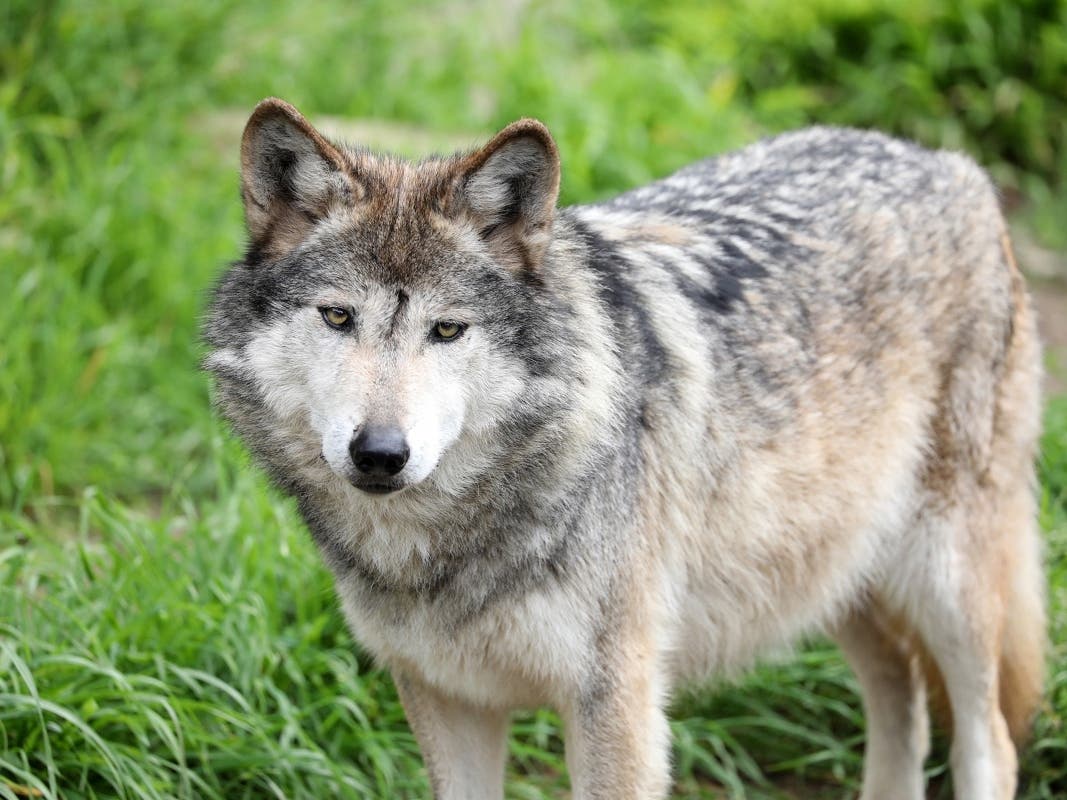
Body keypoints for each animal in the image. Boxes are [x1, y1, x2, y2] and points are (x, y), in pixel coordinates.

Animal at [204, 97, 1046, 799]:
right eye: (337, 317)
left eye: (446, 329)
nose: (380, 453)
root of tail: (950, 165)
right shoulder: (446, 694)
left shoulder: (616, 706)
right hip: (830, 573)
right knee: (901, 694)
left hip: (945, 581)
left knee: (989, 741)